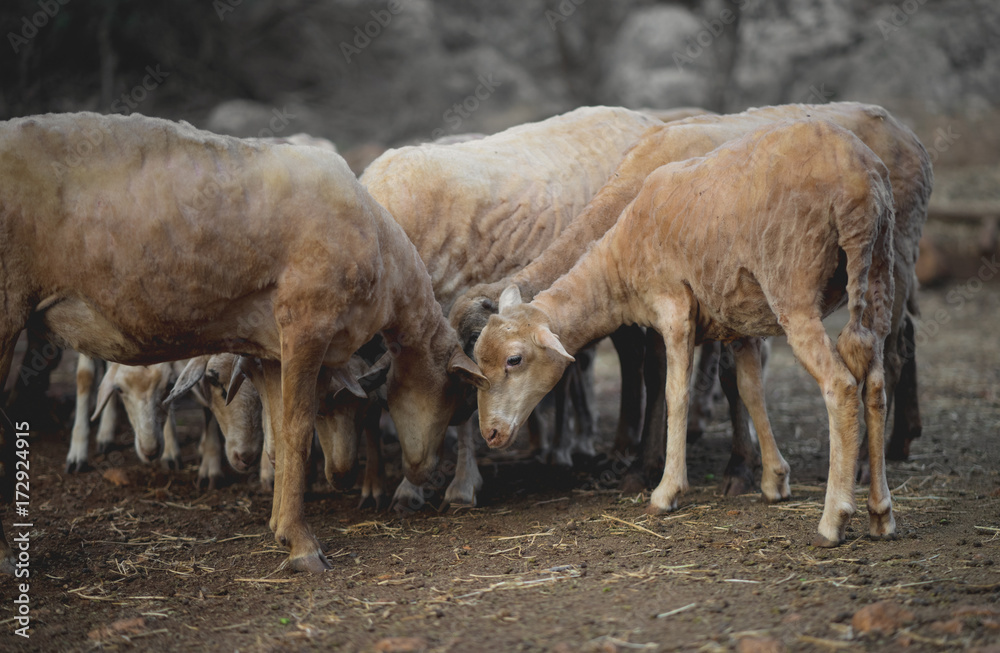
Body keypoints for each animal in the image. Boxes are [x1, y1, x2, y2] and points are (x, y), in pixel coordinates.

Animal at [0, 111, 477, 574]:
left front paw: (281, 529)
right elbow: (298, 430)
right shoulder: (306, 325)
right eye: (455, 398)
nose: (423, 471)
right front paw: (304, 548)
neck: (384, 255)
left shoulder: (273, 351)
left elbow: (280, 433)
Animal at [358, 106, 660, 507]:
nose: (418, 469)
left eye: (447, 397)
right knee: (628, 353)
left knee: (632, 356)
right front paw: (393, 487)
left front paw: (460, 486)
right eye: (389, 399)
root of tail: (639, 116)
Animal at [449, 101, 932, 493]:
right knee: (904, 336)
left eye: (512, 361)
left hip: (895, 255)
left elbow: (728, 381)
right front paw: (643, 467)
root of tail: (907, 133)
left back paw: (872, 463)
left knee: (889, 353)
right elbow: (657, 376)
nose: (477, 428)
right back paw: (903, 436)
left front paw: (739, 469)